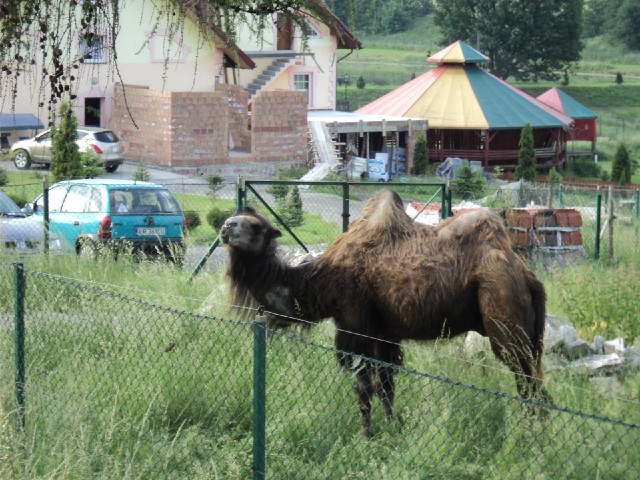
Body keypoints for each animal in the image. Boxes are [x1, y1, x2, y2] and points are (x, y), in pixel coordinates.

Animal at [220, 189, 552, 437]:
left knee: (528, 383)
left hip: (504, 317)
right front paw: (394, 428)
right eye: (231, 218)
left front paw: (366, 436)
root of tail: (527, 276)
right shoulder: (385, 333)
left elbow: (363, 388)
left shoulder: (354, 325)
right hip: (526, 333)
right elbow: (386, 386)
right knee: (533, 383)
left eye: (255, 227)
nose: (224, 228)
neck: (320, 282)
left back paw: (531, 437)